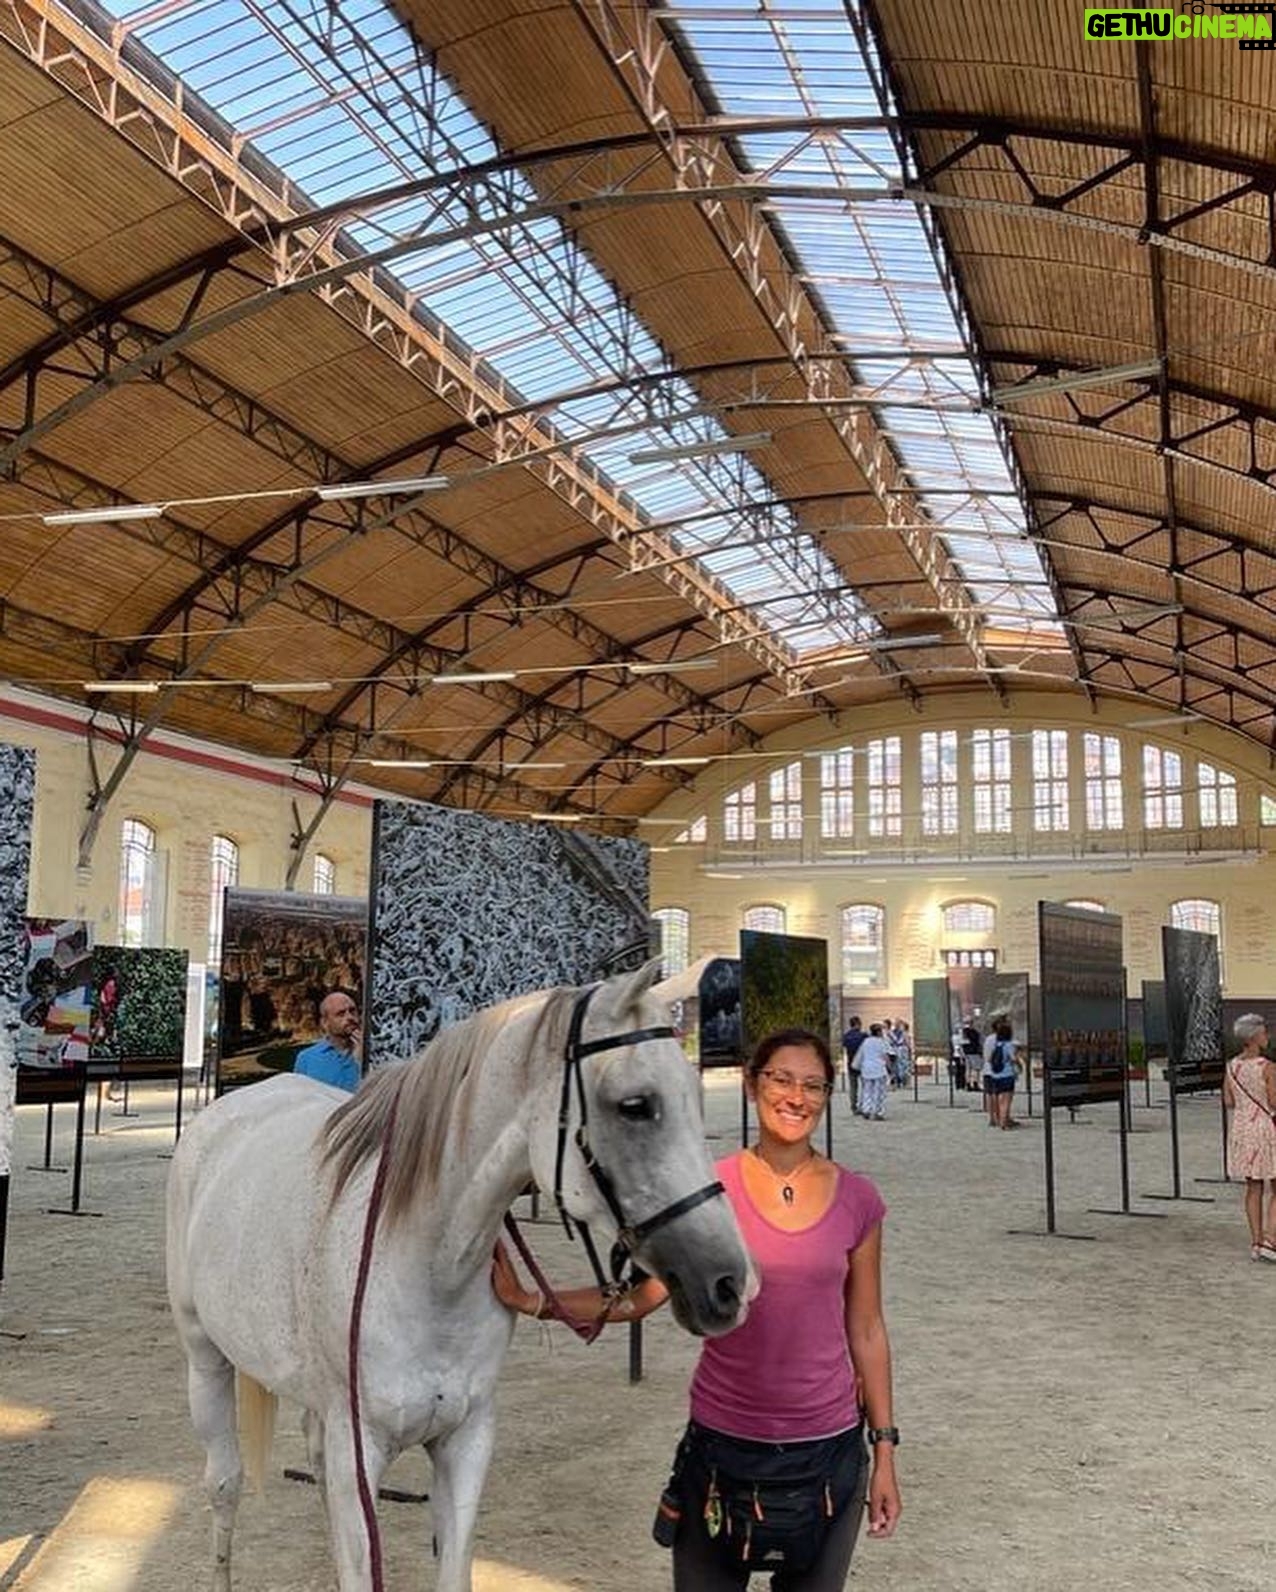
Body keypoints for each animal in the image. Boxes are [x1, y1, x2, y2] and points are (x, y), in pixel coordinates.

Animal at [166, 960, 754, 1591]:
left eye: (696, 1098)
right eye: (635, 1105)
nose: (729, 1284)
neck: (428, 1267)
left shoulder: (465, 1441)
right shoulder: (360, 1452)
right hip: (206, 1362)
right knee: (224, 1486)